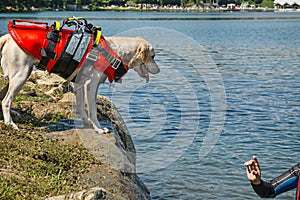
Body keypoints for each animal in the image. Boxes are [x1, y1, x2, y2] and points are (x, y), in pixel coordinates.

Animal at [0, 34, 161, 134]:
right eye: (153, 57)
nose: (159, 70)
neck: (113, 52)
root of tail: (8, 37)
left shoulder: (80, 85)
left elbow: (82, 107)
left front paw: (86, 122)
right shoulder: (90, 85)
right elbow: (93, 110)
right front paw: (98, 129)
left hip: (19, 76)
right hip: (21, 76)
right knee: (6, 101)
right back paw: (10, 123)